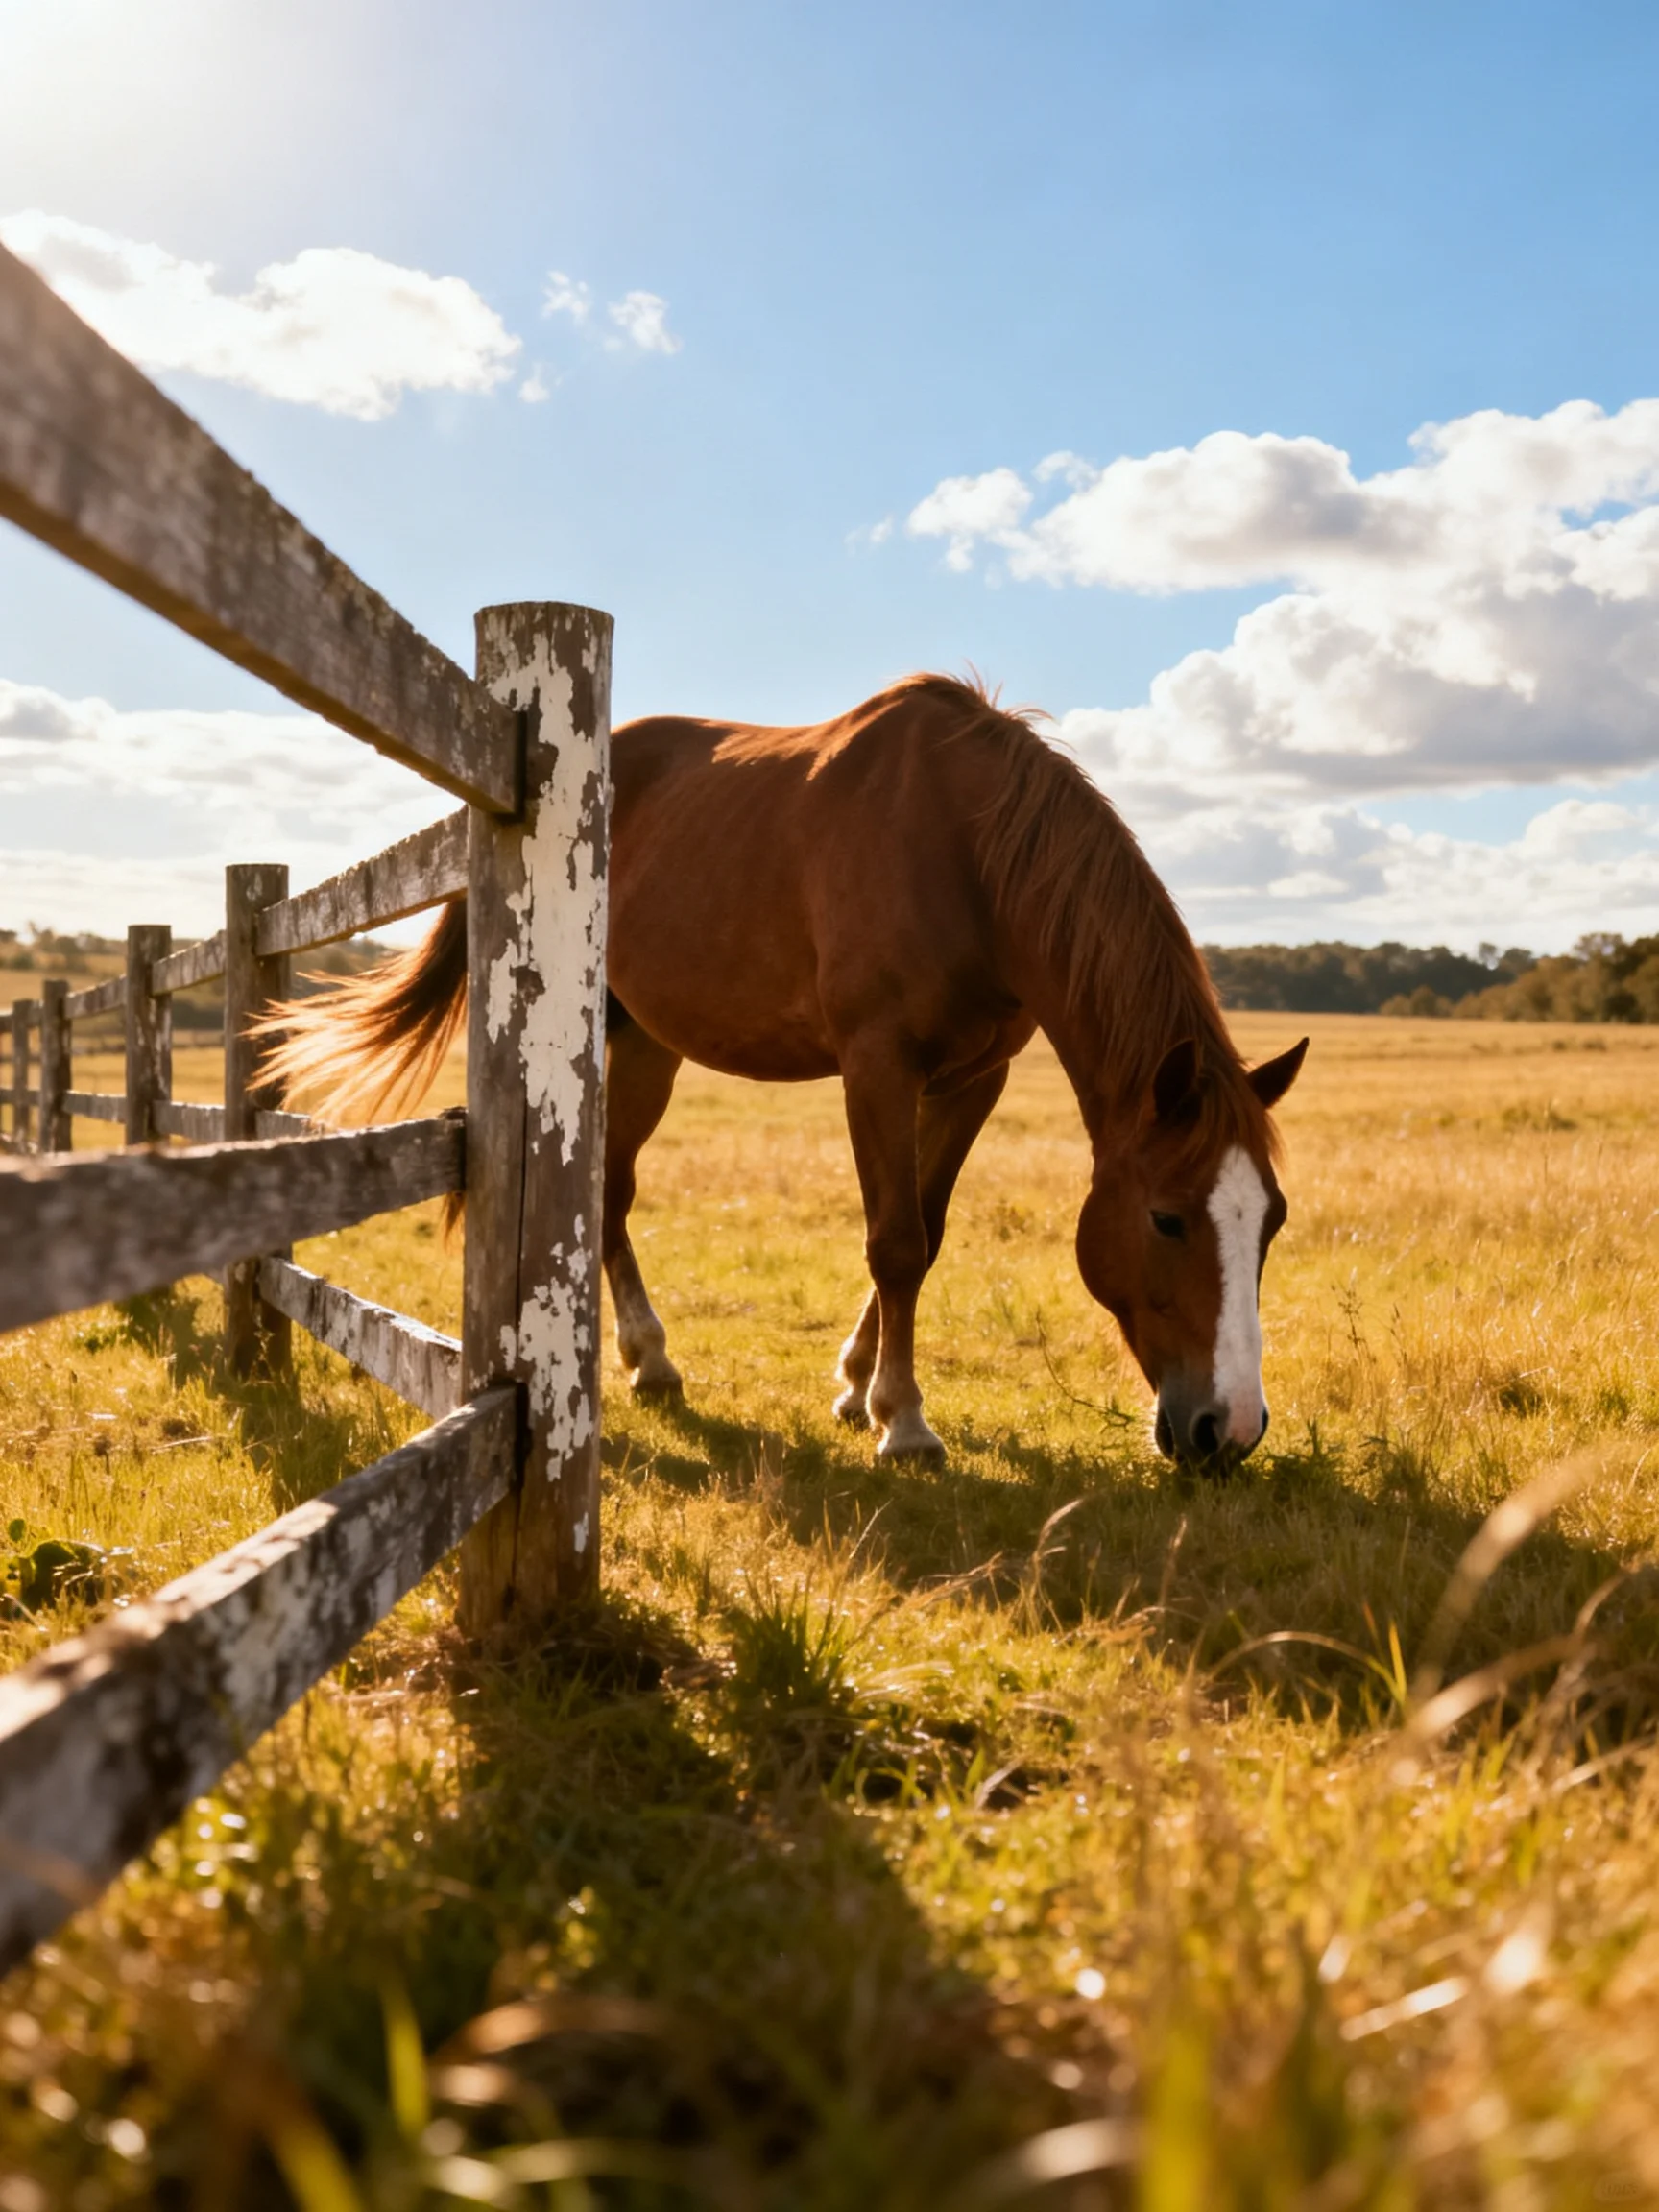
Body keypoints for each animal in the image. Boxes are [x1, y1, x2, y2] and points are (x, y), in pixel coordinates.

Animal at [264, 674, 1307, 1467]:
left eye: (1273, 1223)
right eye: (1167, 1219)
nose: (1230, 1430)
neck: (965, 850)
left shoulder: (975, 1079)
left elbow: (927, 1227)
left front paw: (855, 1386)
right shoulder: (877, 1064)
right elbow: (895, 1241)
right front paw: (902, 1420)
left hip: (649, 1044)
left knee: (612, 1189)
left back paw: (648, 1359)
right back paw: (648, 1358)